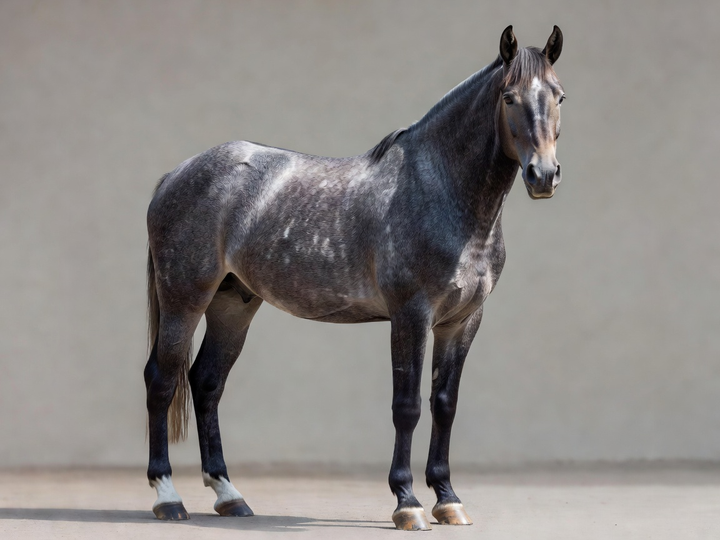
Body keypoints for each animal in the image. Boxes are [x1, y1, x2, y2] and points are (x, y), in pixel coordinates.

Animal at [144, 25, 565, 531]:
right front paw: (407, 502)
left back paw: (230, 496)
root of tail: (175, 174)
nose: (544, 174)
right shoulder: (411, 317)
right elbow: (407, 407)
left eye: (560, 96)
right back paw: (168, 498)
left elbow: (444, 405)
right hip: (184, 298)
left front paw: (448, 499)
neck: (440, 192)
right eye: (508, 97)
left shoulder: (463, 321)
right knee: (161, 380)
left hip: (233, 305)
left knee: (206, 383)